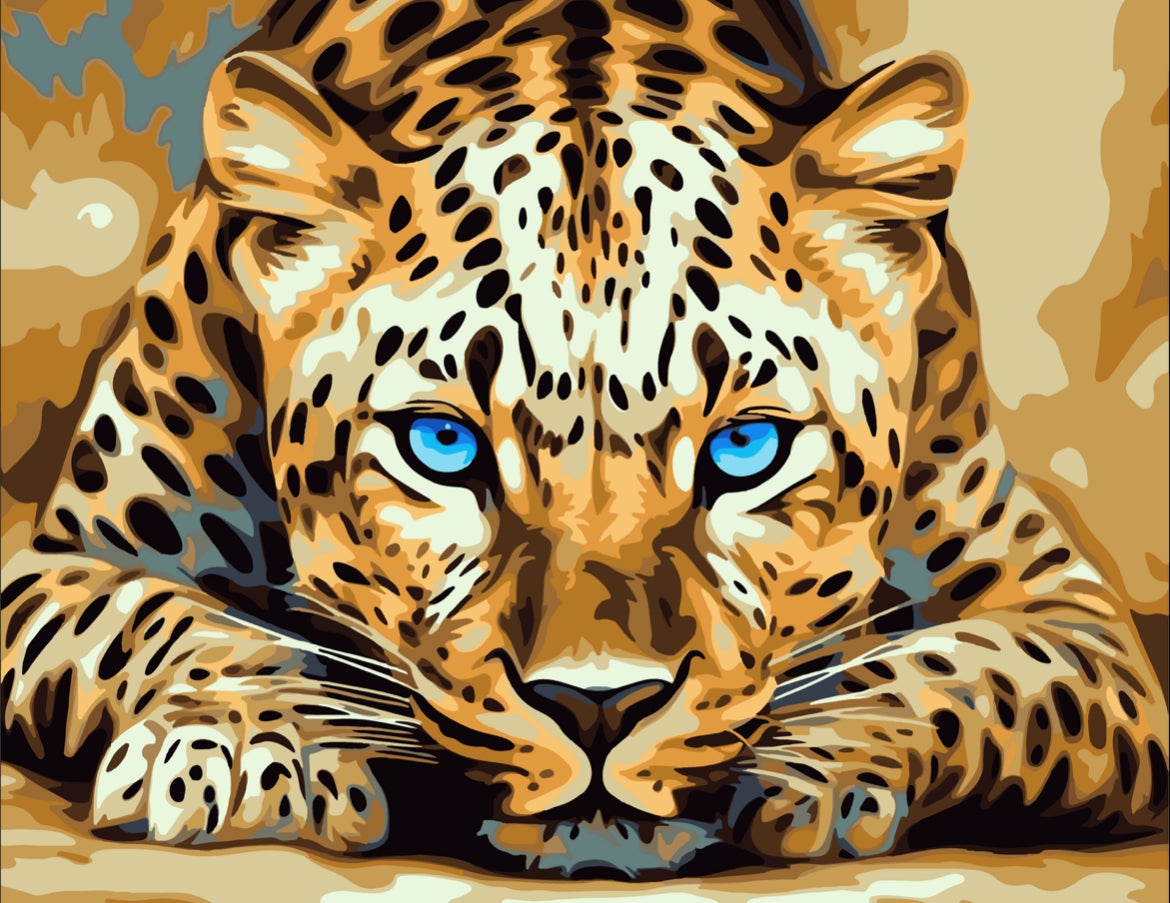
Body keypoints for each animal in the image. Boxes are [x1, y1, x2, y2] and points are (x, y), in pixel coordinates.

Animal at [2, 0, 1166, 880]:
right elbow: (173, 621)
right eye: (442, 446)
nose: (597, 707)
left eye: (746, 452)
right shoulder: (68, 560)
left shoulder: (1076, 617)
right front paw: (238, 735)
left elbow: (968, 667)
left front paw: (819, 754)